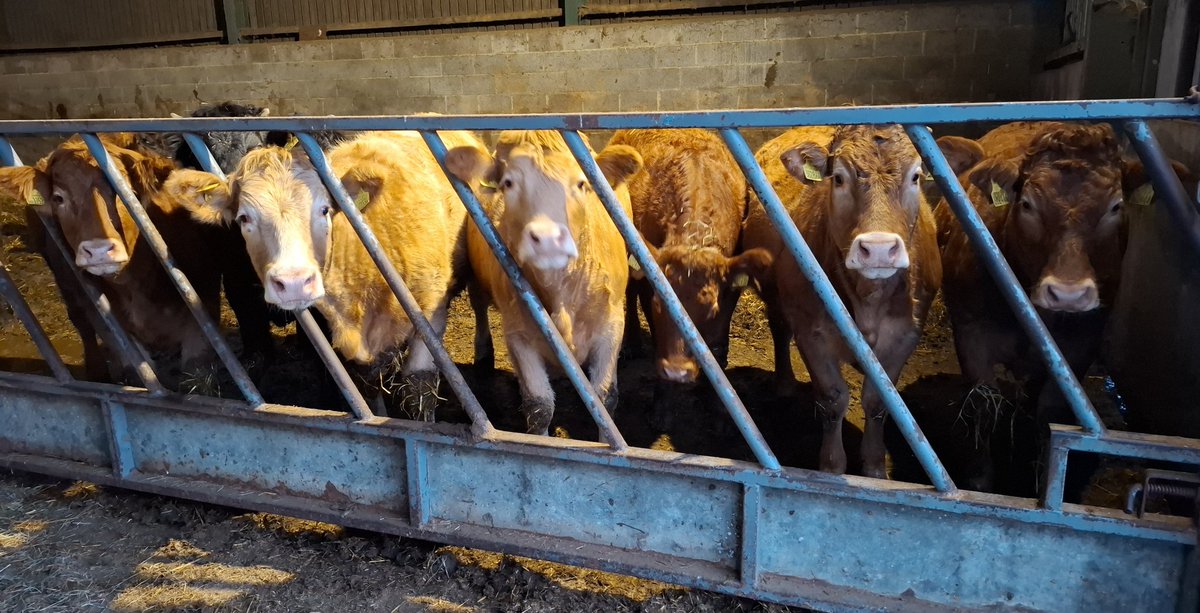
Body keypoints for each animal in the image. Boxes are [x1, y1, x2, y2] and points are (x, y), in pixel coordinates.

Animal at [165, 130, 486, 420]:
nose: (293, 283)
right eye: (244, 218)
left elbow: (418, 393)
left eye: (324, 210)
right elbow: (368, 388)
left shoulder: (431, 315)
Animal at [444, 131, 643, 435]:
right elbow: (539, 407)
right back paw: (484, 355)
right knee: (479, 306)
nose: (548, 239)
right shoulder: (518, 334)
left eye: (582, 183)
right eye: (508, 183)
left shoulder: (611, 324)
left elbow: (605, 399)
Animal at [606, 128, 771, 426]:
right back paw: (632, 343)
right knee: (630, 291)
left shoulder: (730, 291)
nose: (677, 372)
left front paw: (717, 398)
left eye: (711, 310)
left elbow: (717, 344)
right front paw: (661, 406)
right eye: (659, 306)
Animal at [743, 125, 941, 478]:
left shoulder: (906, 335)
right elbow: (833, 399)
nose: (878, 249)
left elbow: (879, 401)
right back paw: (784, 383)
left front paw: (875, 468)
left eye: (916, 176)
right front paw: (832, 468)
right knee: (779, 328)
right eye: (838, 178)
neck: (868, 299)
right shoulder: (812, 333)